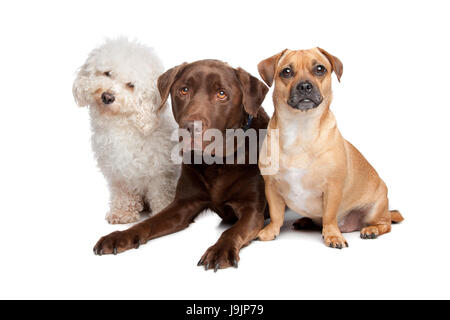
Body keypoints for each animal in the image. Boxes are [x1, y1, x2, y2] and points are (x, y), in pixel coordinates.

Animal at [73, 39, 179, 225]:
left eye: (131, 85)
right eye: (108, 73)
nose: (107, 97)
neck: (123, 126)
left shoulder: (161, 172)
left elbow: (160, 193)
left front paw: (162, 213)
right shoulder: (119, 171)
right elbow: (124, 193)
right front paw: (122, 213)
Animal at [256, 47, 404, 249]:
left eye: (320, 69)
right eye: (286, 72)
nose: (304, 86)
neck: (300, 129)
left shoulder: (333, 187)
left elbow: (329, 217)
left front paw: (332, 235)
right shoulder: (271, 186)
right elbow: (276, 215)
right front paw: (271, 231)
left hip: (376, 209)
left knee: (385, 224)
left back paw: (371, 230)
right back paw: (305, 221)